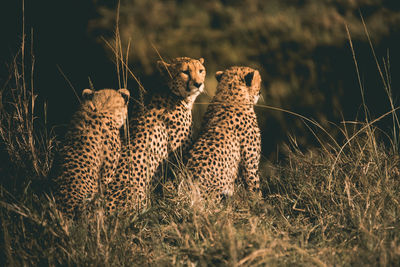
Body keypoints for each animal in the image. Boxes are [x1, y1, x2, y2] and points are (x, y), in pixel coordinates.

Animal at [185, 66, 262, 202]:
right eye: (260, 82)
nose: (261, 92)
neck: (229, 95)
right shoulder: (250, 165)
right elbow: (255, 188)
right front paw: (263, 205)